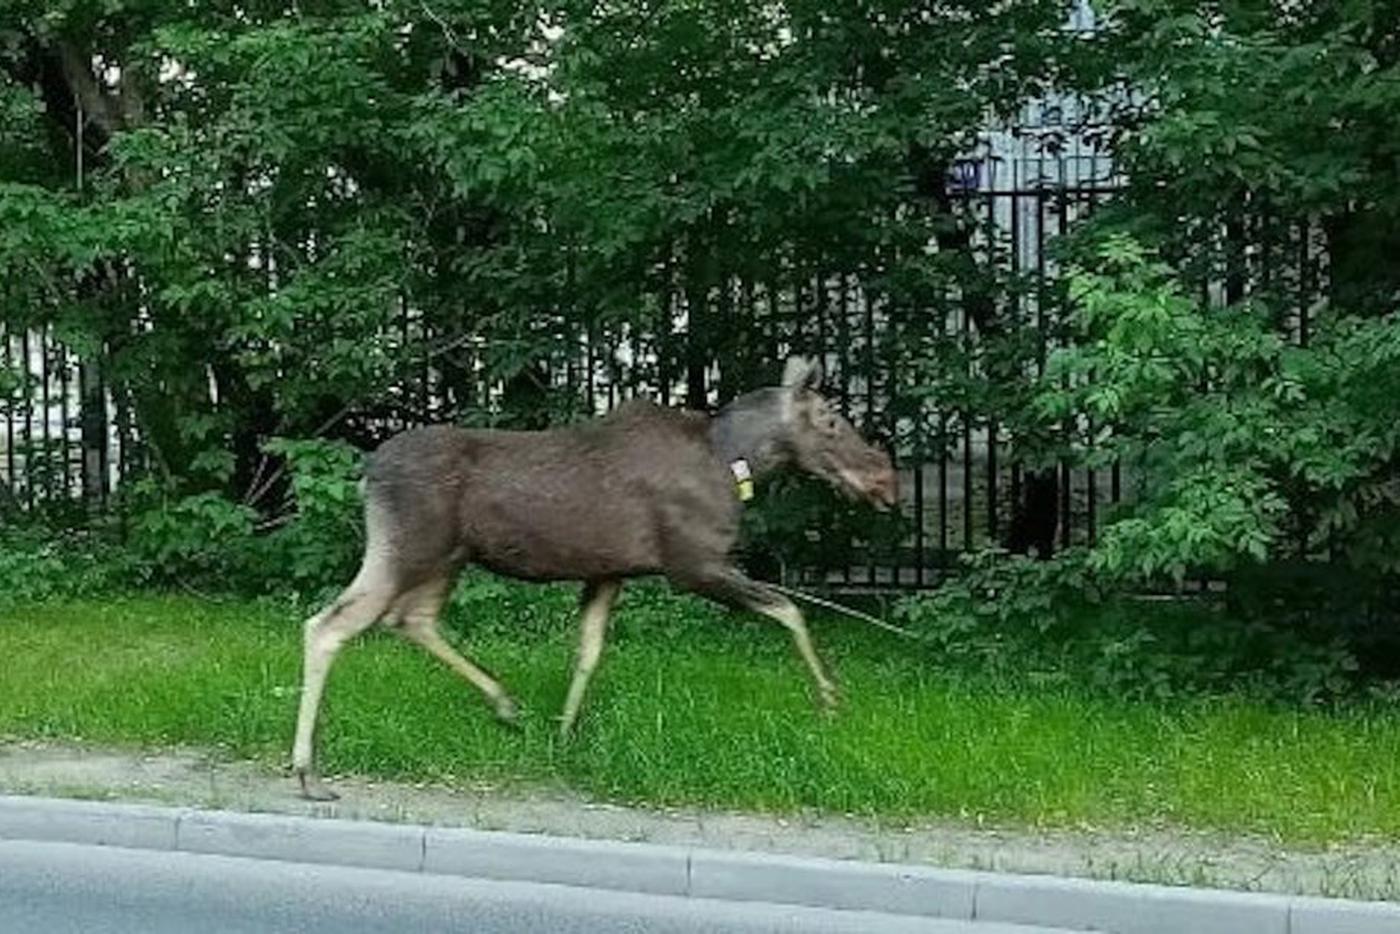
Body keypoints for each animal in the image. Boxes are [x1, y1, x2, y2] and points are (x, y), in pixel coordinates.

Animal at [291, 356, 898, 800]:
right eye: (831, 421)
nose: (886, 479)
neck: (738, 463)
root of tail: (366, 472)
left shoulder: (609, 573)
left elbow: (587, 650)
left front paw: (564, 731)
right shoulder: (694, 565)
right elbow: (789, 608)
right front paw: (830, 698)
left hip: (448, 558)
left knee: (410, 620)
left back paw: (505, 704)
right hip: (407, 549)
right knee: (328, 624)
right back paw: (305, 770)